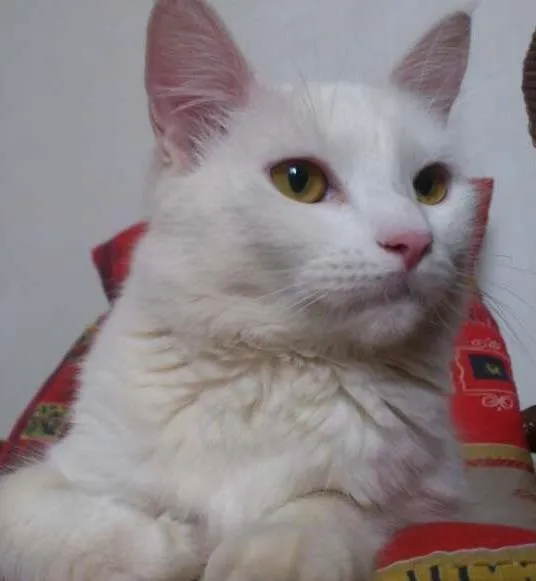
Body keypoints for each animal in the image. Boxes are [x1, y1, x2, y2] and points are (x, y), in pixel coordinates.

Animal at [0, 1, 476, 580]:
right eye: (299, 180)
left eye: (430, 186)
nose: (414, 240)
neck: (275, 367)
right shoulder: (61, 473)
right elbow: (67, 525)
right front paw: (177, 542)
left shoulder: (437, 492)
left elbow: (328, 504)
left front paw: (263, 552)